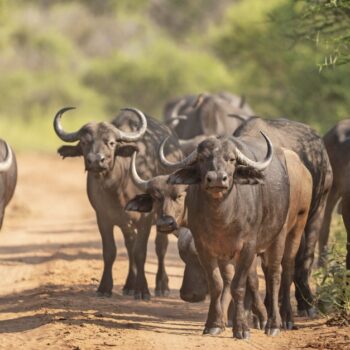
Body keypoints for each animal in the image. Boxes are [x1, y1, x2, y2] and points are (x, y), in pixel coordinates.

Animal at [54, 106, 183, 298]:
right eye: (84, 142)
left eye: (111, 143)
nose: (95, 160)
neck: (117, 186)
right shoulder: (103, 218)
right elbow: (110, 251)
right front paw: (105, 287)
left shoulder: (146, 219)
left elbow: (141, 252)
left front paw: (142, 290)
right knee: (130, 245)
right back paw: (129, 285)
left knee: (160, 246)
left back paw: (162, 286)